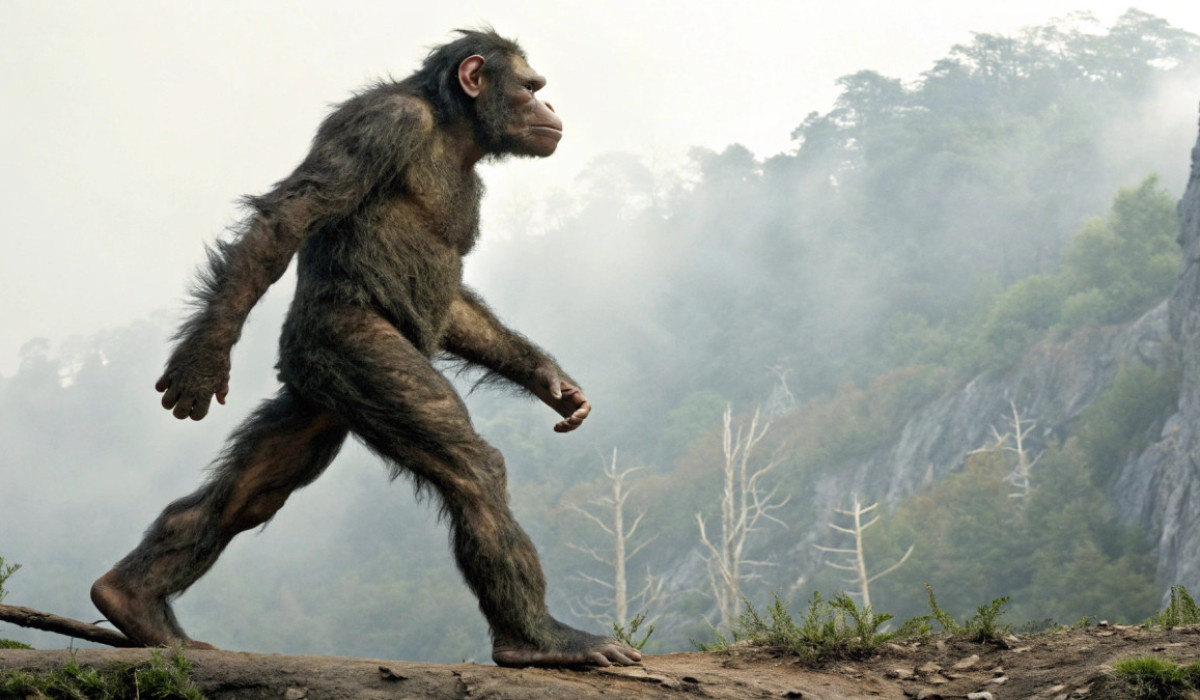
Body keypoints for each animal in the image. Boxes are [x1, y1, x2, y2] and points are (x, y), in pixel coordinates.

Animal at [89, 28, 642, 669]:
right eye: (531, 88)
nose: (549, 106)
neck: (452, 129)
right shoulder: (380, 126)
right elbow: (288, 217)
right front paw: (202, 360)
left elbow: (457, 309)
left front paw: (551, 381)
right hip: (348, 352)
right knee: (468, 466)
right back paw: (535, 641)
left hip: (316, 397)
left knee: (254, 489)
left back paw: (135, 599)